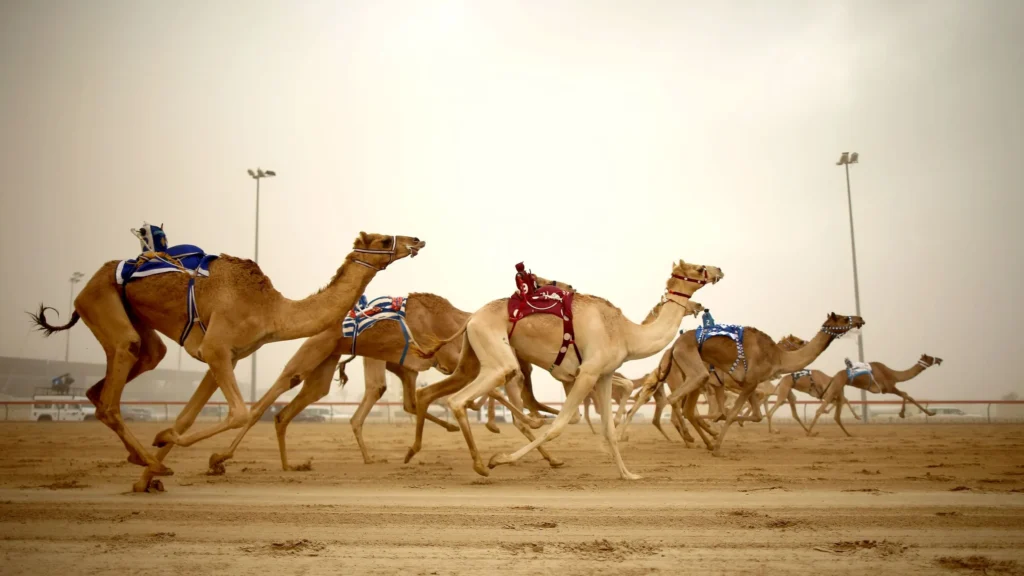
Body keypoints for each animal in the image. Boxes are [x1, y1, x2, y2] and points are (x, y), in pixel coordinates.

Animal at [30, 231, 424, 492]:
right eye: (382, 240)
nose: (416, 240)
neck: (271, 309)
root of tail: (92, 279)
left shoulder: (227, 358)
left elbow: (188, 417)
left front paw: (148, 475)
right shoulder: (216, 349)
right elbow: (239, 412)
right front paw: (173, 450)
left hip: (135, 323)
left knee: (117, 380)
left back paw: (145, 462)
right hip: (99, 299)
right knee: (112, 395)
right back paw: (149, 460)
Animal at [405, 260, 723, 480]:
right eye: (698, 267)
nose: (718, 270)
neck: (625, 333)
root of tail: (471, 318)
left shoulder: (603, 375)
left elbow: (608, 428)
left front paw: (628, 474)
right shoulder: (587, 373)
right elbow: (560, 424)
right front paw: (502, 459)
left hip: (471, 358)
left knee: (439, 393)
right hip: (497, 356)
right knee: (460, 399)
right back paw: (483, 464)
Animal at [660, 313, 865, 454]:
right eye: (844, 319)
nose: (860, 319)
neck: (777, 356)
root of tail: (673, 347)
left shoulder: (749, 383)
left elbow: (753, 415)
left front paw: (720, 433)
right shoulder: (750, 382)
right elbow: (731, 413)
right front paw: (718, 446)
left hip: (697, 379)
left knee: (688, 410)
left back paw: (704, 440)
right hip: (695, 371)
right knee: (674, 400)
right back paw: (692, 437)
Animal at [807, 354, 943, 436]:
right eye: (929, 357)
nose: (939, 359)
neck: (893, 374)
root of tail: (834, 376)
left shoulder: (889, 387)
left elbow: (905, 395)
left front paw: (904, 413)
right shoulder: (888, 387)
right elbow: (906, 394)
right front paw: (928, 413)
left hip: (837, 388)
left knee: (835, 412)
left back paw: (848, 433)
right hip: (836, 387)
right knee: (820, 410)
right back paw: (809, 432)